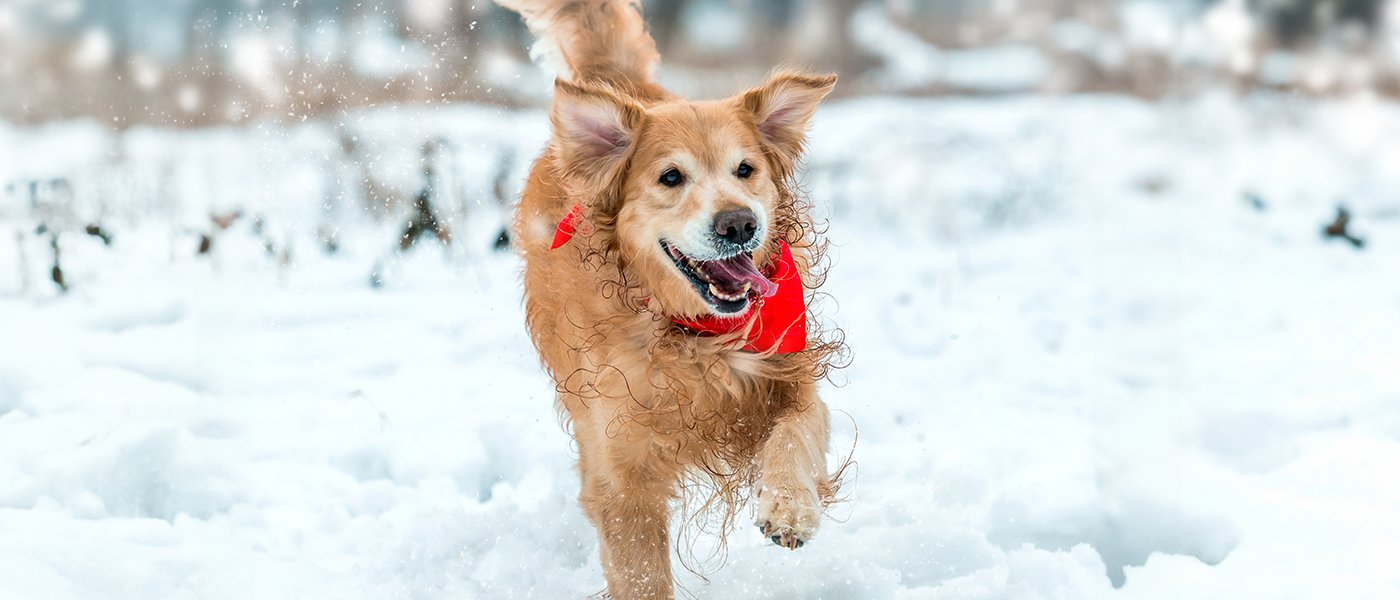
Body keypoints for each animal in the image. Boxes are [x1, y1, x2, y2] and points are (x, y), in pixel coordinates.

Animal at [501, 2, 840, 595]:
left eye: (745, 169)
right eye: (671, 177)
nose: (739, 223)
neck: (694, 339)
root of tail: (623, 83)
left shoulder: (789, 373)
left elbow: (798, 429)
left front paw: (790, 507)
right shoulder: (620, 473)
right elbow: (640, 572)